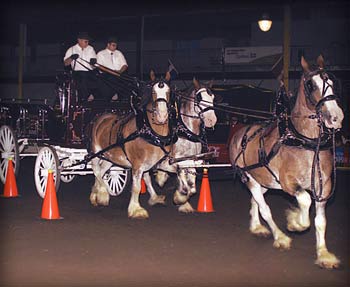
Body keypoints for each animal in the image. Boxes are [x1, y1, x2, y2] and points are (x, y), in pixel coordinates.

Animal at [142, 79, 216, 214]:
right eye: (199, 98)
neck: (186, 132)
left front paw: (183, 200)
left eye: (212, 97)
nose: (211, 120)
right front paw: (180, 198)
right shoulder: (177, 159)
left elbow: (192, 185)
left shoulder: (192, 158)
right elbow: (183, 180)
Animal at [228, 55, 344, 268]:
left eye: (332, 83)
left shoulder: (323, 187)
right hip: (249, 177)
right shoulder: (288, 183)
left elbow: (320, 221)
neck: (304, 142)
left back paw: (256, 227)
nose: (335, 117)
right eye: (310, 84)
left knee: (256, 199)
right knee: (264, 208)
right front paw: (295, 222)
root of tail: (240, 132)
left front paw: (324, 254)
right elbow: (305, 201)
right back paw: (280, 236)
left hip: (264, 181)